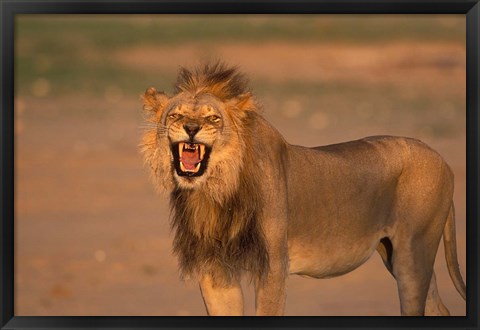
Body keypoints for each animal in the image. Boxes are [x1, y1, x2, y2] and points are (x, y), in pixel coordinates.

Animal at [142, 62, 464, 318]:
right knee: (439, 307)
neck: (217, 191)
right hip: (399, 256)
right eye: (175, 116)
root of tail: (443, 160)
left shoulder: (273, 268)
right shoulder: (215, 269)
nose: (191, 129)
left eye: (213, 118)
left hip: (414, 253)